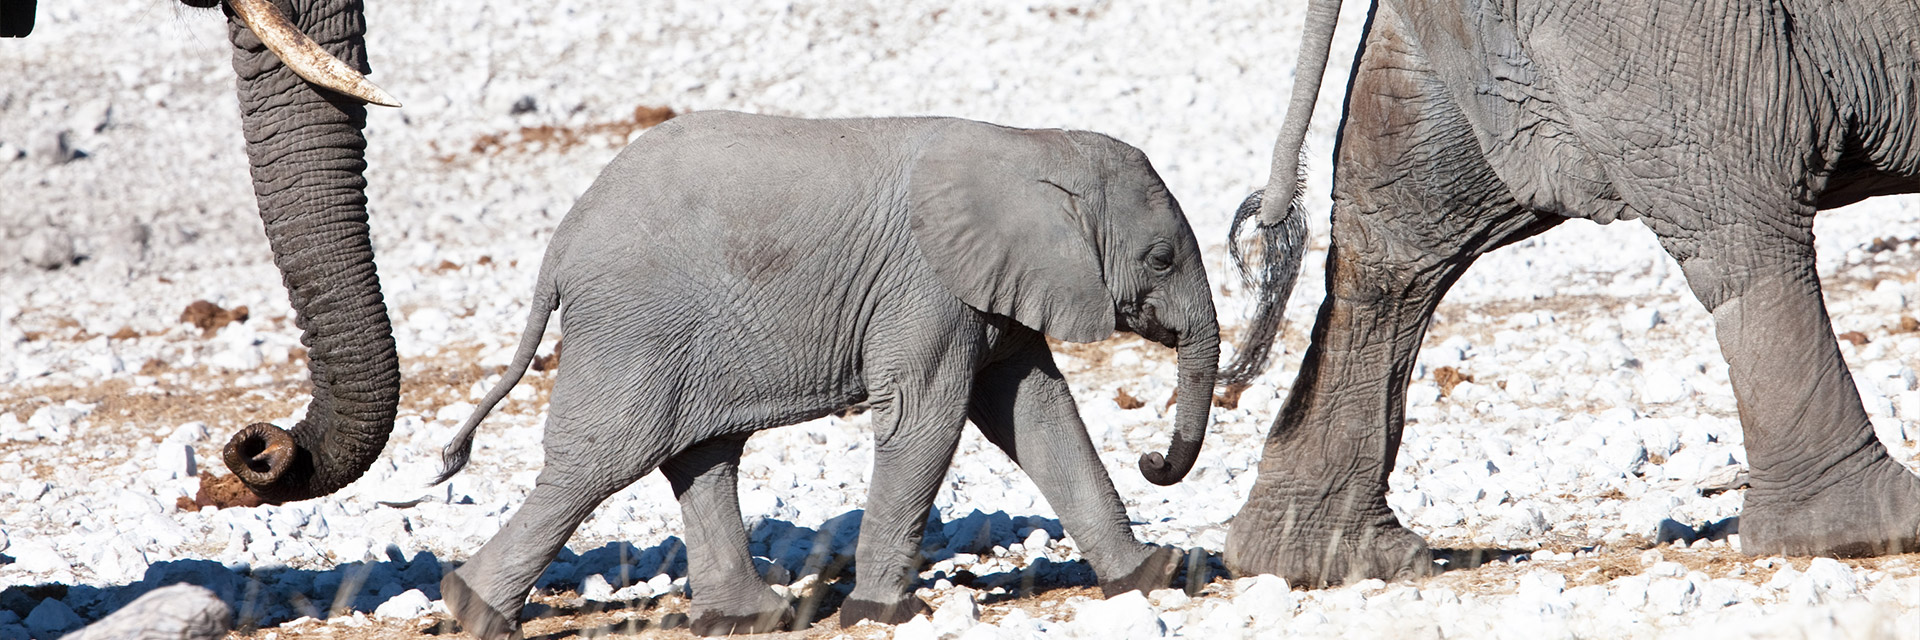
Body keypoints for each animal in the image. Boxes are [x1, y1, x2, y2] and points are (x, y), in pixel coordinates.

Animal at [433, 109, 1213, 634]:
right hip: (635, 325)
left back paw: (752, 618)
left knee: (701, 457)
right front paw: (884, 613)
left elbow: (1038, 416)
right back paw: (472, 609)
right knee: (604, 460)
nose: (1153, 460)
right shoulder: (925, 285)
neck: (1032, 145)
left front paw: (1152, 574)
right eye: (1162, 259)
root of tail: (561, 240)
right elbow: (926, 419)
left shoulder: (994, 286)